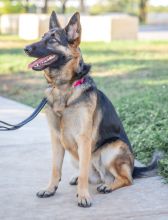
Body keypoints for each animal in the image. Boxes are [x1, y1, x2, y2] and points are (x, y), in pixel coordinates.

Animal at [24, 11, 159, 208]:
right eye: (42, 37)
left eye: (53, 40)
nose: (25, 48)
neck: (64, 88)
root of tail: (133, 167)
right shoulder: (56, 139)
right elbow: (55, 169)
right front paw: (50, 189)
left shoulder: (83, 139)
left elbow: (83, 174)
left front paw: (83, 196)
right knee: (91, 175)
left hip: (112, 149)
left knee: (126, 179)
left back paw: (108, 186)